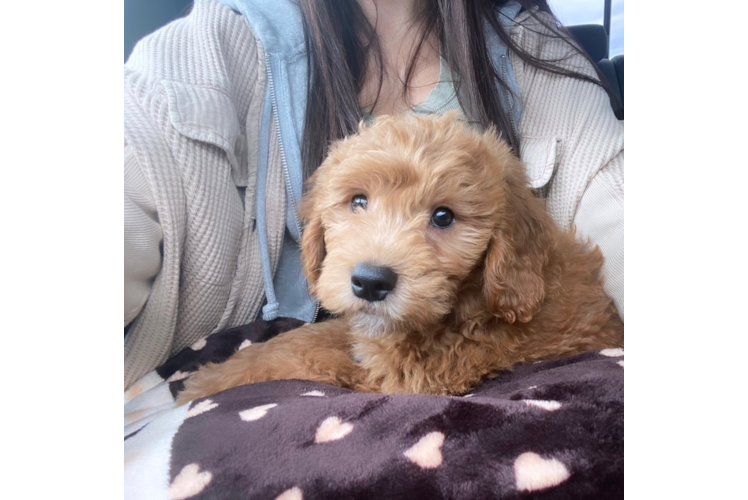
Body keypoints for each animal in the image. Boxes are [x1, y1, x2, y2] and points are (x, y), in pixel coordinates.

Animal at [178, 111, 624, 404]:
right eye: (358, 201)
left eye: (444, 217)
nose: (370, 281)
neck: (470, 299)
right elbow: (312, 337)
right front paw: (226, 368)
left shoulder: (414, 376)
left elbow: (307, 356)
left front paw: (211, 381)